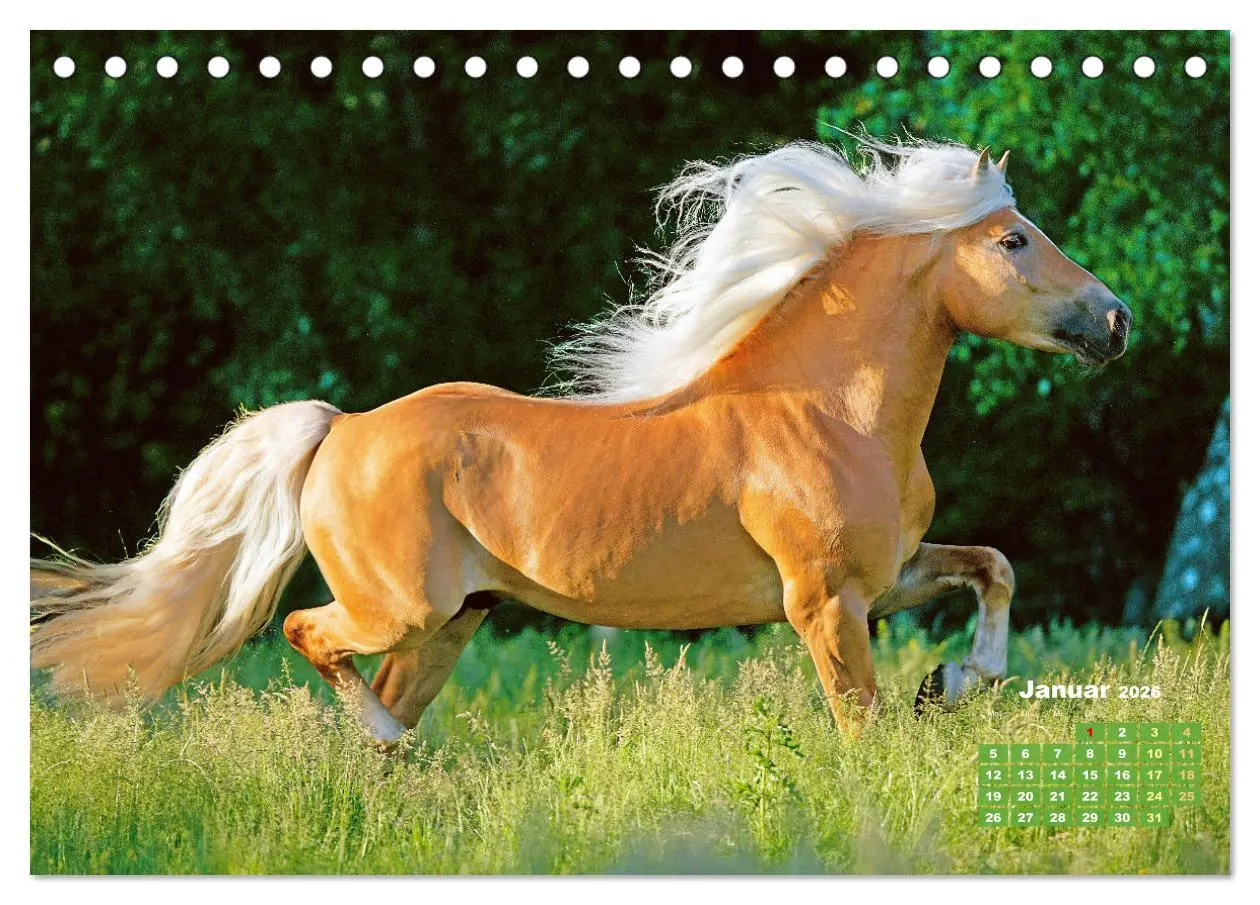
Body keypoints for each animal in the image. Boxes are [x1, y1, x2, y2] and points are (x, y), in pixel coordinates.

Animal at [30, 140, 1131, 744]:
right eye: (1013, 239)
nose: (1116, 320)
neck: (827, 412)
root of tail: (341, 428)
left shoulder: (888, 576)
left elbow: (994, 567)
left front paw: (952, 682)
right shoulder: (824, 600)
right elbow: (860, 725)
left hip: (452, 621)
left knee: (375, 700)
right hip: (401, 608)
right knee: (311, 634)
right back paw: (394, 744)